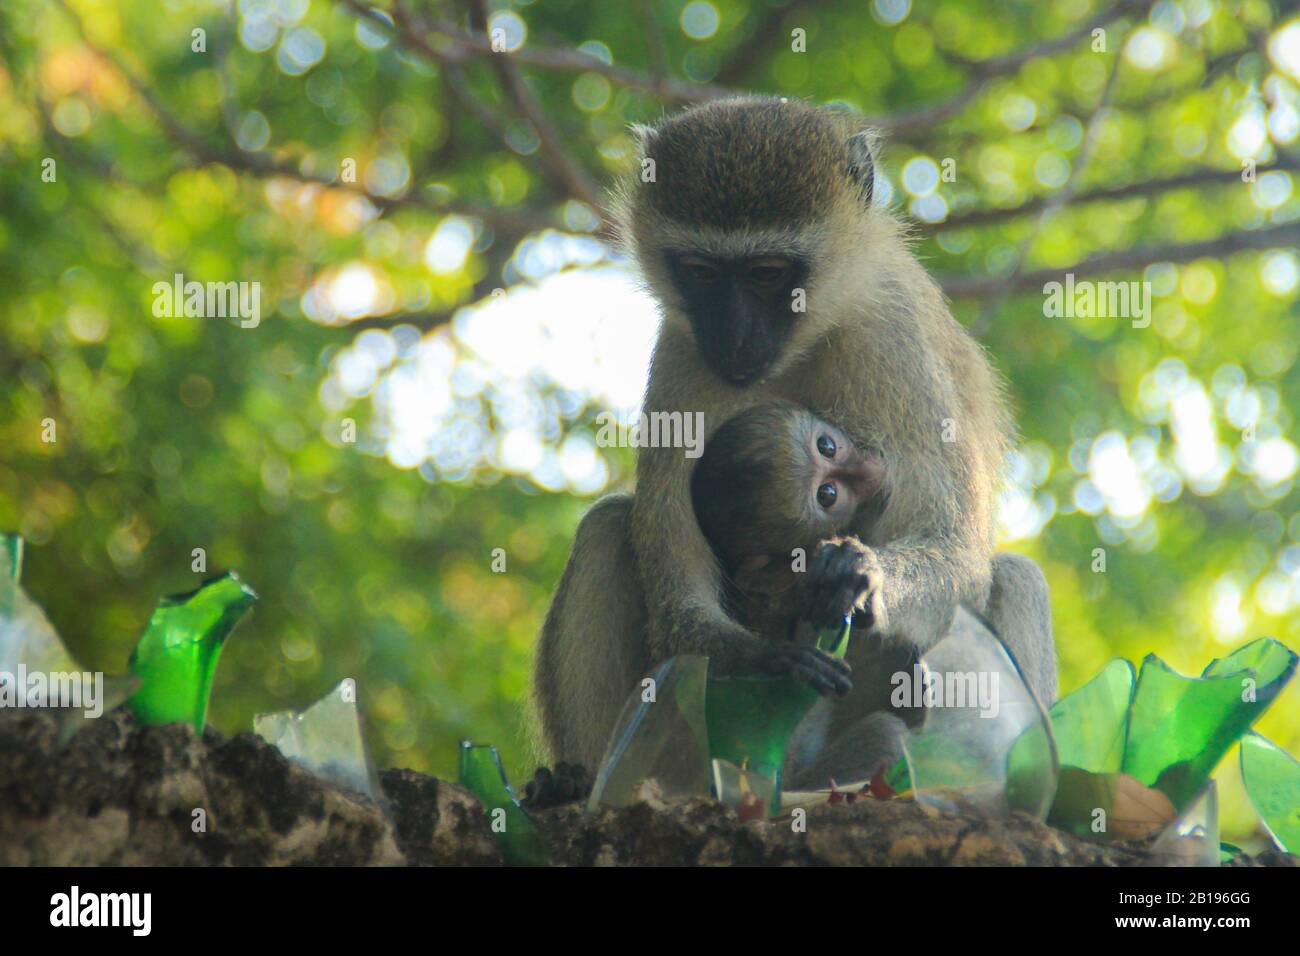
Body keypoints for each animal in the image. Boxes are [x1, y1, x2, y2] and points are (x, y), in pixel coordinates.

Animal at [533, 95, 1050, 785]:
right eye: (701, 272)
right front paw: (769, 660)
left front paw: (865, 576)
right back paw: (580, 780)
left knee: (1014, 576)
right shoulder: (684, 353)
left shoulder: (895, 339)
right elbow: (678, 602)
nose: (733, 338)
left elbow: (958, 552)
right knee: (608, 528)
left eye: (767, 273)